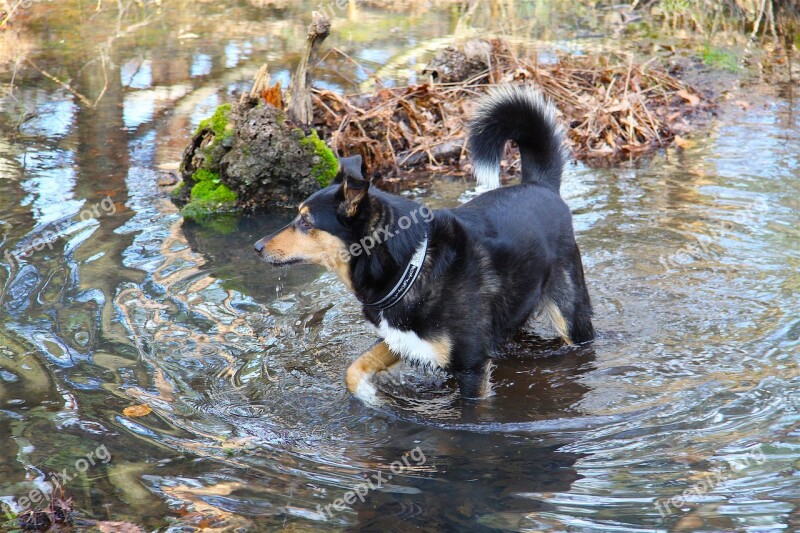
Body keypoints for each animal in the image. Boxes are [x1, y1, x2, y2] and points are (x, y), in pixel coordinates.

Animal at [255, 84, 592, 404]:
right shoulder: (400, 339)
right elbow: (354, 369)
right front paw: (373, 398)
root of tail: (540, 185)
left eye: (306, 222)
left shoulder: (472, 366)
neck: (410, 265)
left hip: (571, 316)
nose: (257, 247)